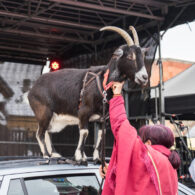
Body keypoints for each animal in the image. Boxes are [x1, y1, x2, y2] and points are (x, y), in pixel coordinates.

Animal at [28, 25, 149, 163]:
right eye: (130, 56)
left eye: (142, 56)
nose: (144, 77)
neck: (102, 82)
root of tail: (31, 91)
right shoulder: (83, 112)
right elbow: (85, 132)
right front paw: (80, 157)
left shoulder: (103, 119)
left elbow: (101, 135)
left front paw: (97, 158)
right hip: (44, 112)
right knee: (40, 133)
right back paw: (46, 155)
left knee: (47, 132)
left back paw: (55, 154)